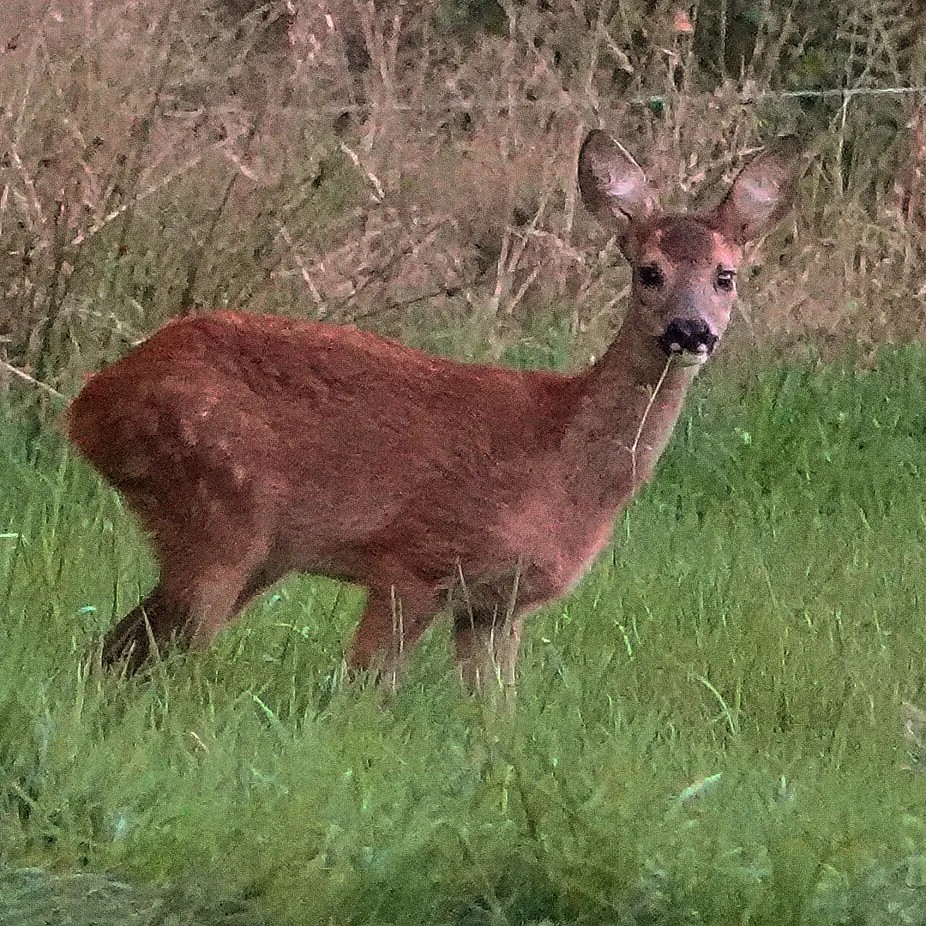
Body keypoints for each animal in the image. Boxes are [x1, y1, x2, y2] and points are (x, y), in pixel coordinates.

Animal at [69, 134, 800, 692]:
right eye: (648, 271)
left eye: (726, 276)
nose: (690, 330)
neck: (560, 460)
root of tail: (90, 403)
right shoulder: (414, 559)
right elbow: (364, 689)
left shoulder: (496, 606)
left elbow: (495, 717)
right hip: (216, 509)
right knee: (150, 655)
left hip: (251, 546)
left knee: (119, 649)